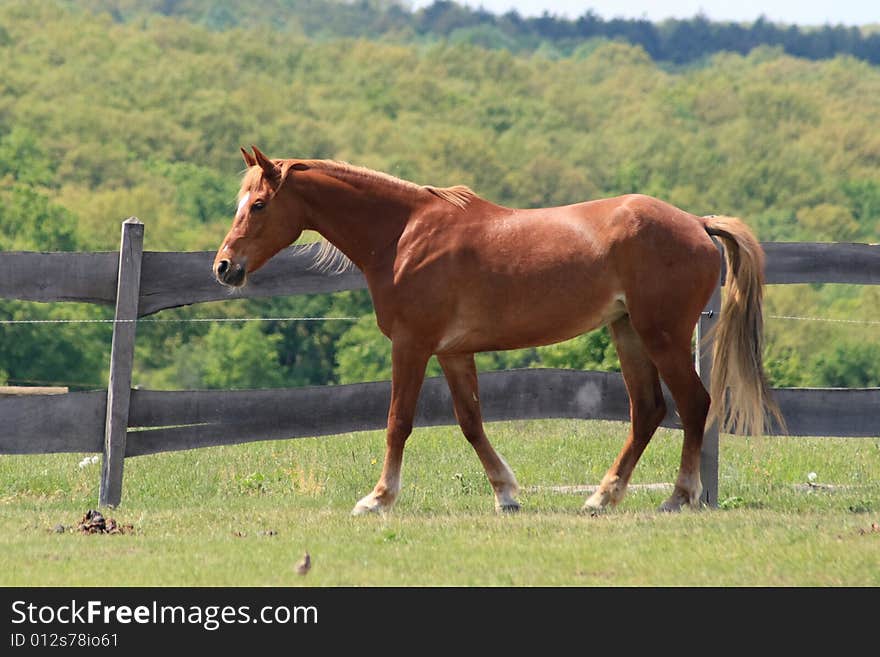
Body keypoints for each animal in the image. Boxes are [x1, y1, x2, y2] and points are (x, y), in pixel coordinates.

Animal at [215, 146, 784, 516]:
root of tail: (696, 223)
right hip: (629, 334)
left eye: (259, 205)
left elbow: (398, 422)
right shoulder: (452, 352)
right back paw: (602, 497)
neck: (404, 235)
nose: (224, 267)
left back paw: (678, 497)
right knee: (648, 411)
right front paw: (506, 493)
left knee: (693, 404)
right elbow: (471, 422)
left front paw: (377, 499)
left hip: (661, 335)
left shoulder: (412, 345)